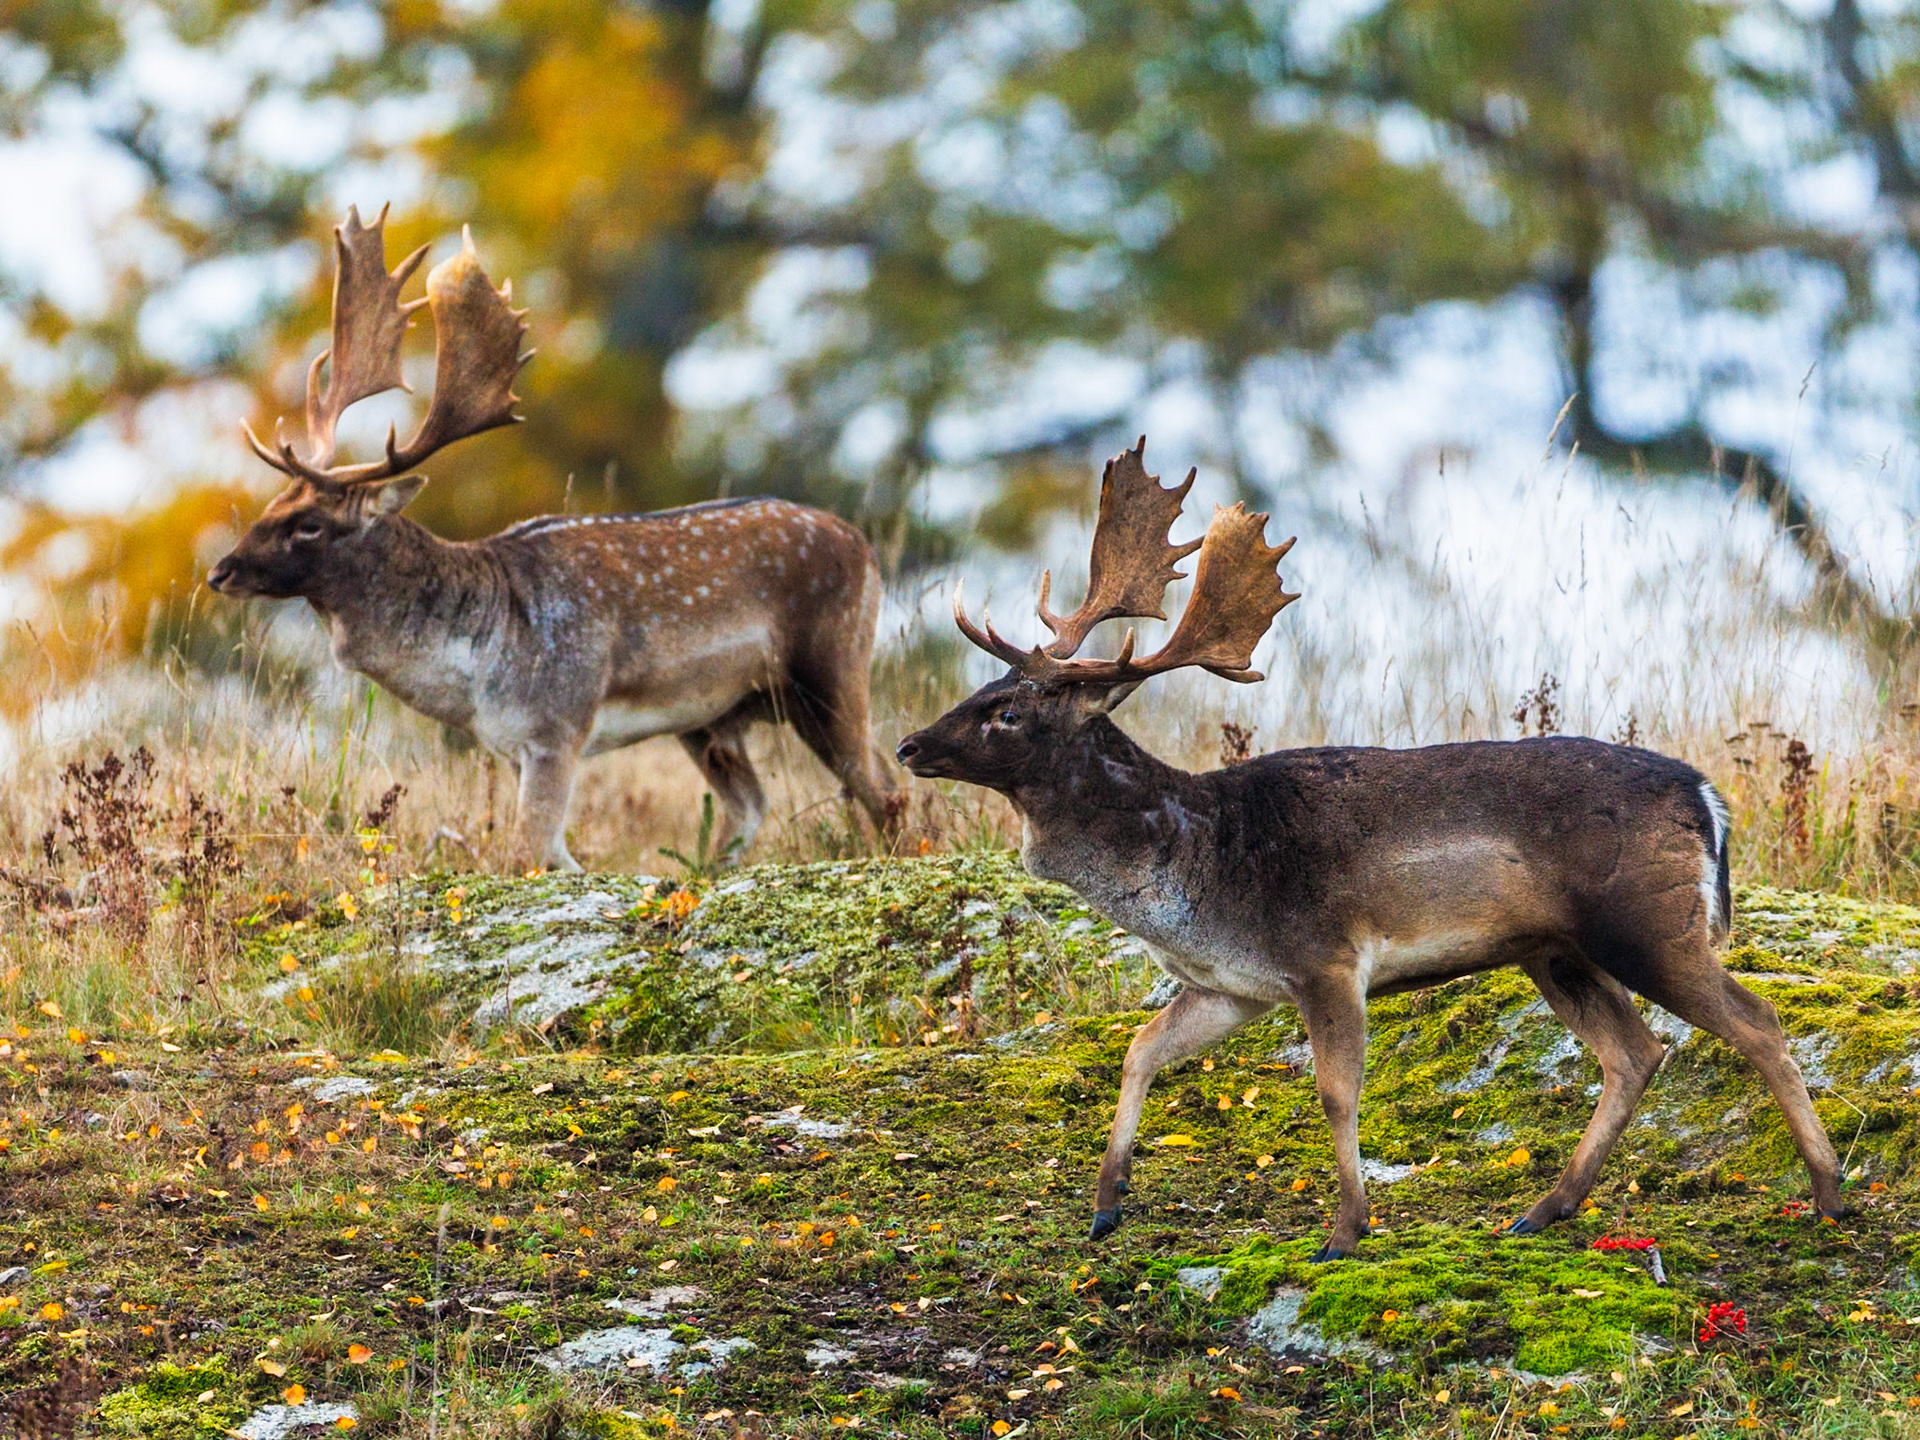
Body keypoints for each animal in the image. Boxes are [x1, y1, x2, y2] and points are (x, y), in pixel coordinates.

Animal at [208, 206, 900, 870]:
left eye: (309, 523)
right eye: (273, 503)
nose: (220, 571)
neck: (479, 668)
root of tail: (865, 549)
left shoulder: (557, 724)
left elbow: (532, 853)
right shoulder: (515, 745)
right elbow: (557, 857)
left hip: (831, 666)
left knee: (885, 787)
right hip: (712, 719)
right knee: (754, 805)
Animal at [895, 439, 1844, 1260]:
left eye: (1008, 711)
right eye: (983, 687)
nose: (908, 744)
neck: (1200, 868)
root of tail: (1706, 798)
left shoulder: (1326, 956)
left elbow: (1335, 1090)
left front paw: (1344, 1232)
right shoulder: (1234, 987)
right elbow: (1140, 1050)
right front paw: (1105, 1206)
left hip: (1648, 923)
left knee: (1755, 1023)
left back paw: (1829, 1192)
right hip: (1554, 951)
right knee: (1636, 1053)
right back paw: (1542, 1211)